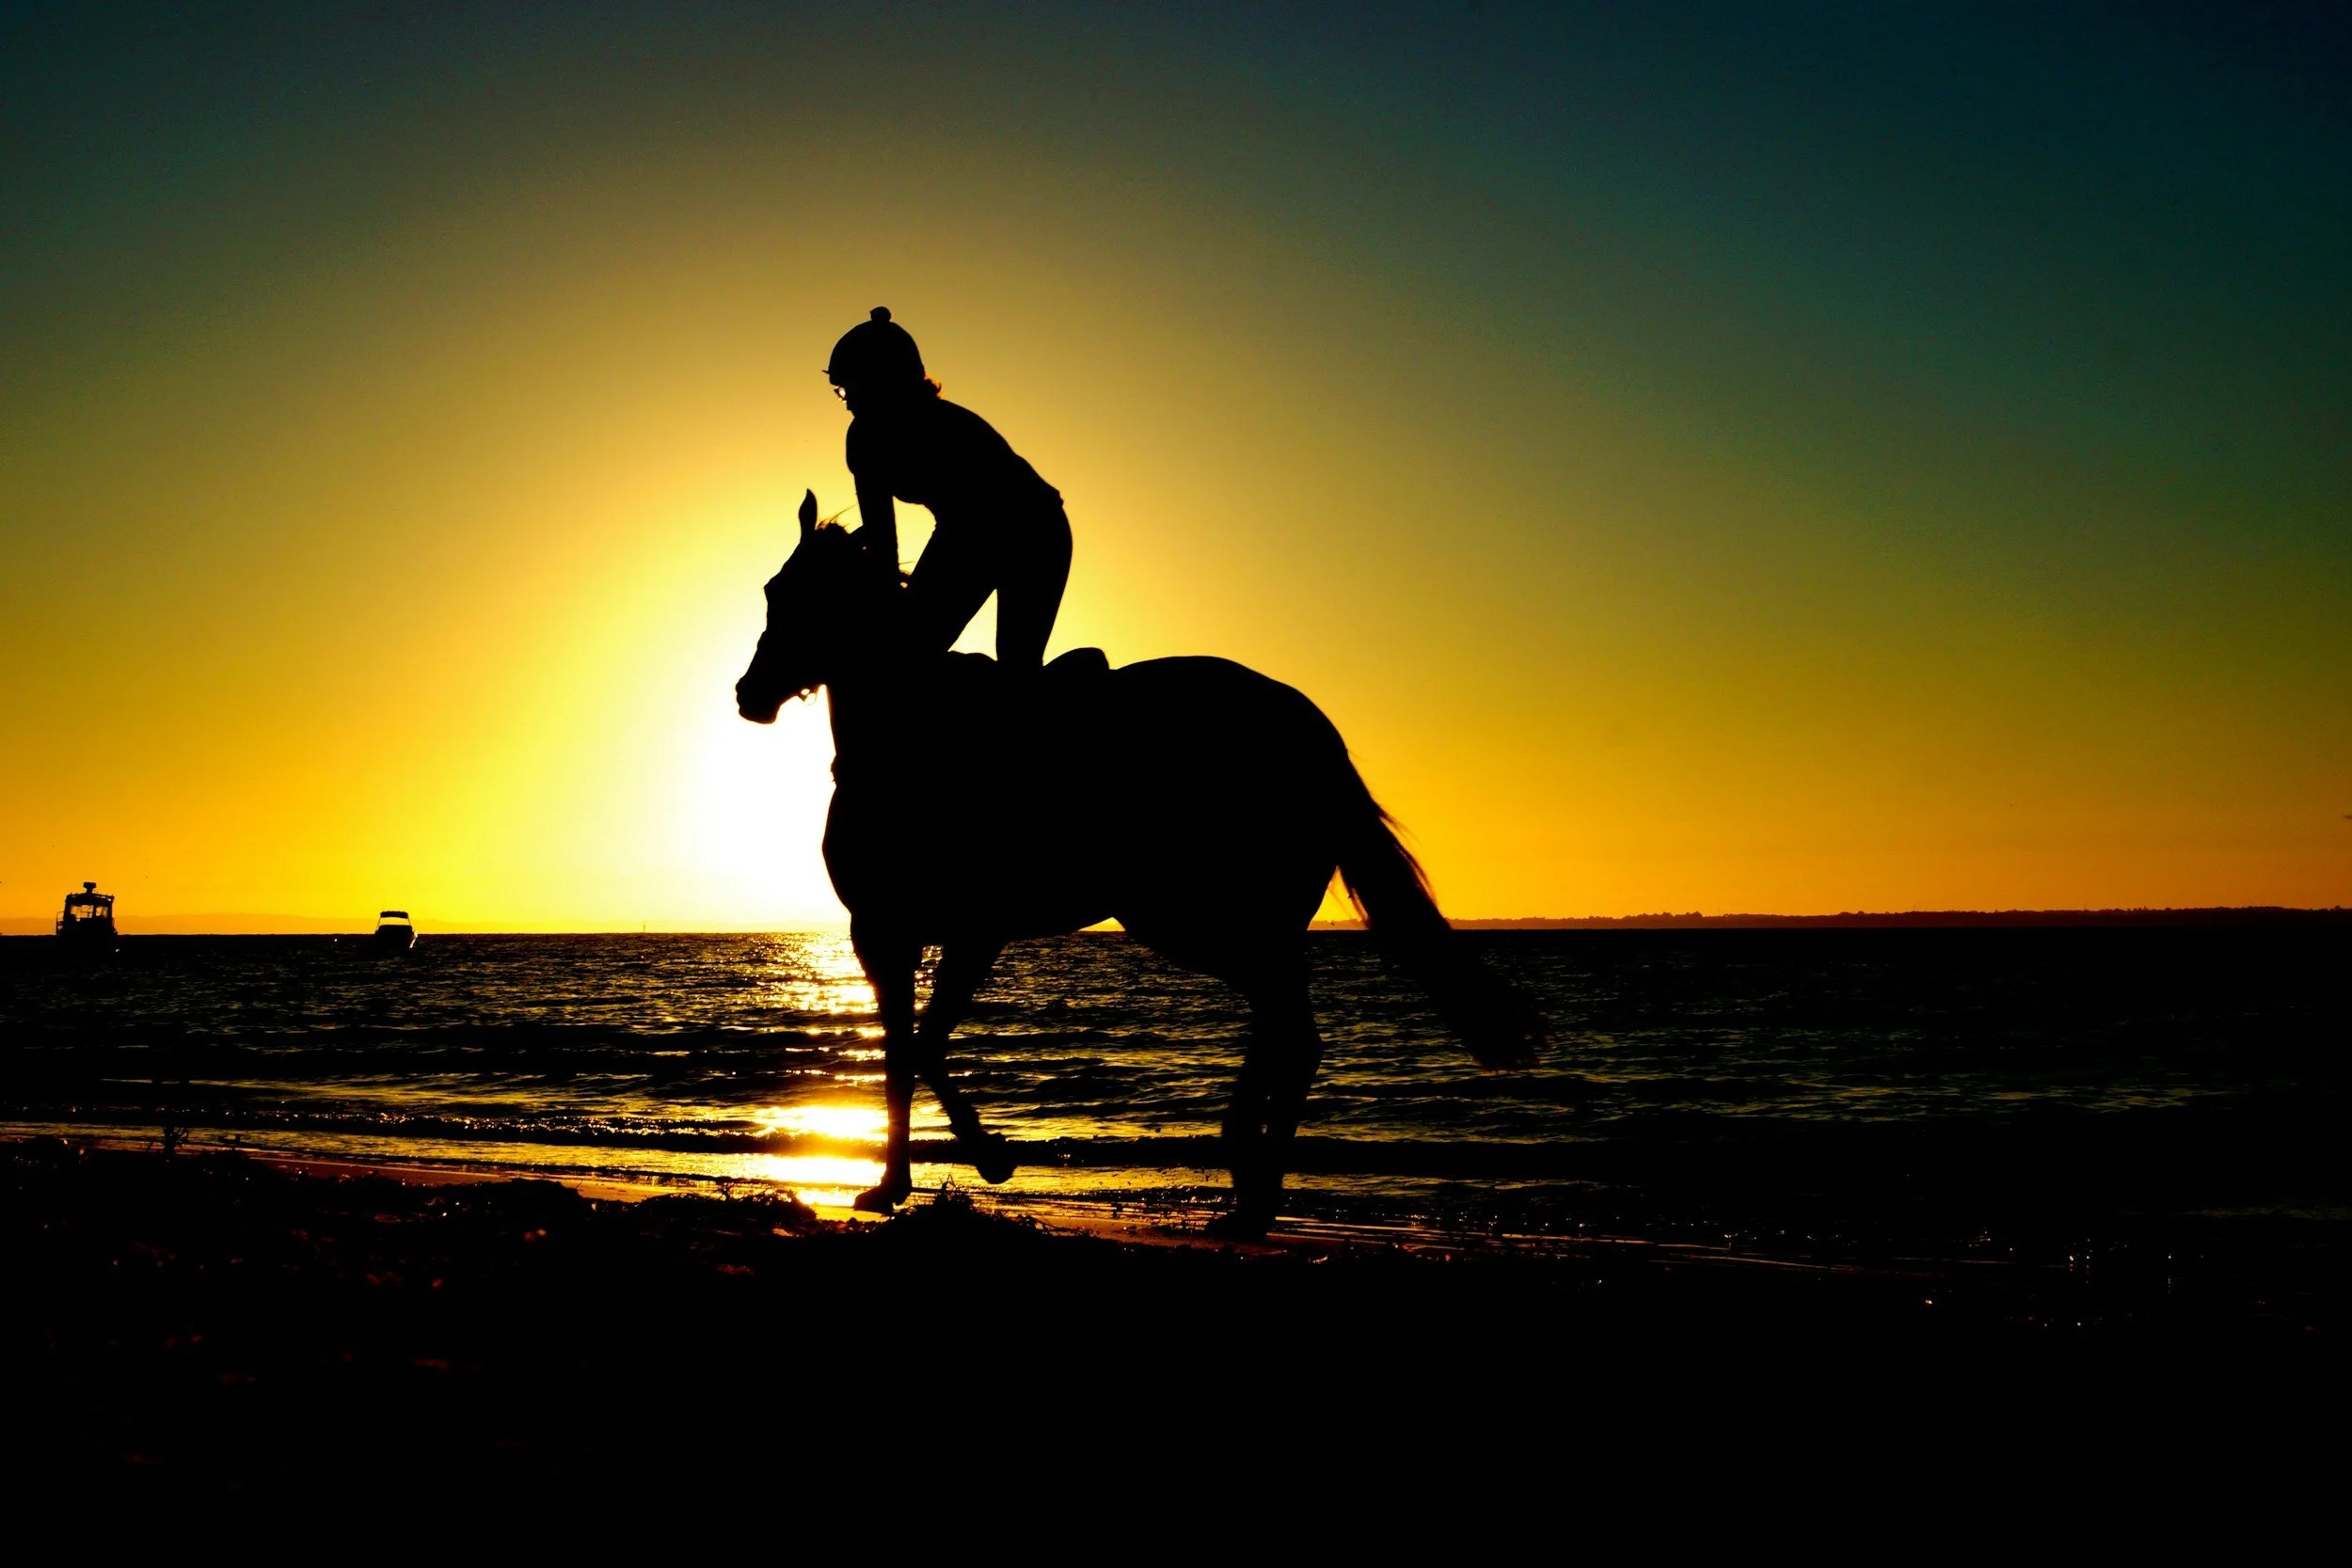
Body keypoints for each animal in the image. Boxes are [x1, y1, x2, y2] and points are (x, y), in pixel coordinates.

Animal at [735, 490, 1542, 1237]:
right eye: (775, 589)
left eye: (799, 596)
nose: (749, 694)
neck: (907, 737)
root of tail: (1317, 735)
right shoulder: (885, 934)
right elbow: (902, 1054)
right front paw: (890, 1183)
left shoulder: (961, 929)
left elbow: (923, 1046)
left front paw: (990, 1157)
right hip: (1229, 923)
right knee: (1288, 1028)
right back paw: (1247, 1184)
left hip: (1201, 918)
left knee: (1294, 1031)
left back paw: (1252, 1189)